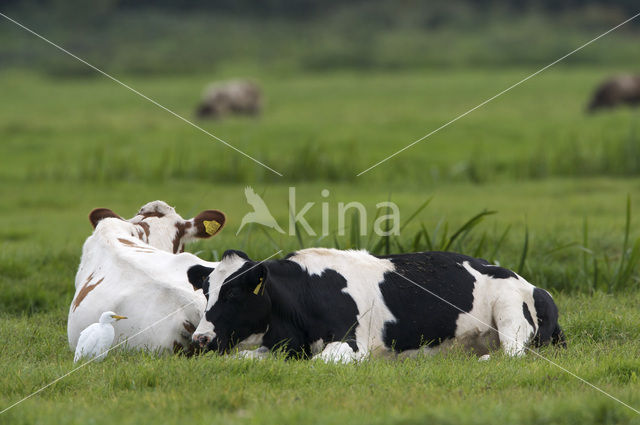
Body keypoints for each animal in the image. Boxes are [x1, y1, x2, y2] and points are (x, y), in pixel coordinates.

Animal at [190, 245, 564, 362]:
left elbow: (321, 363)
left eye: (233, 294)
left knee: (512, 354)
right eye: (206, 292)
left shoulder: (352, 342)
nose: (200, 339)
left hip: (509, 311)